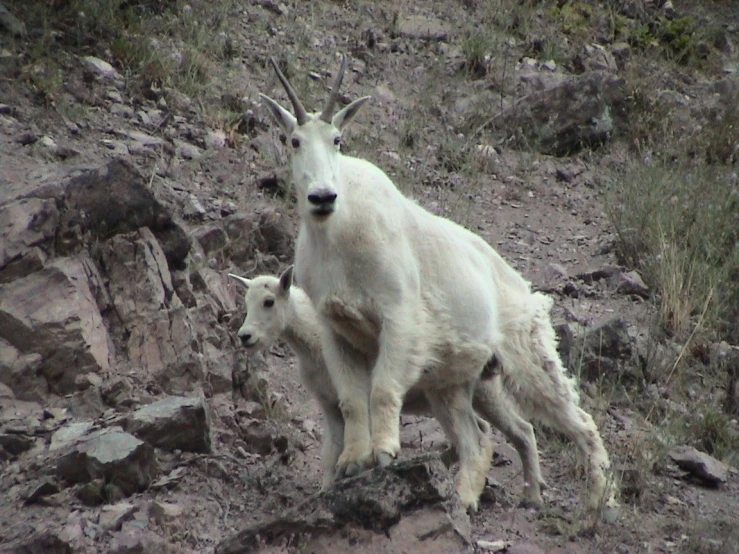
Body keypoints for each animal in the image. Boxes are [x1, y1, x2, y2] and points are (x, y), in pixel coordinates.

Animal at [258, 52, 616, 508]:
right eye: (293, 141)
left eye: (338, 139)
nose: (322, 197)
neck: (337, 234)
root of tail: (522, 287)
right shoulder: (335, 330)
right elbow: (353, 400)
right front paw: (352, 461)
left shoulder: (399, 315)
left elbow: (382, 390)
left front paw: (384, 452)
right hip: (453, 384)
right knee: (481, 438)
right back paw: (499, 497)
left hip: (526, 354)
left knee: (577, 419)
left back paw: (602, 502)